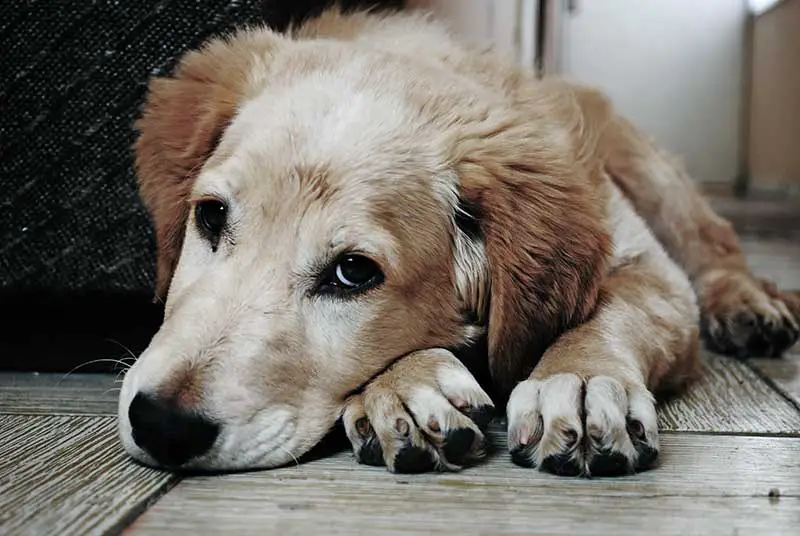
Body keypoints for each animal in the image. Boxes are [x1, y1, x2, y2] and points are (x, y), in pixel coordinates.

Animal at [119, 6, 800, 478]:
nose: (161, 425)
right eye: (210, 217)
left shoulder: (650, 269)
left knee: (716, 246)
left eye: (353, 272)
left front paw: (579, 380)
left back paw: (750, 305)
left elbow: (612, 312)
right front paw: (408, 386)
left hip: (652, 175)